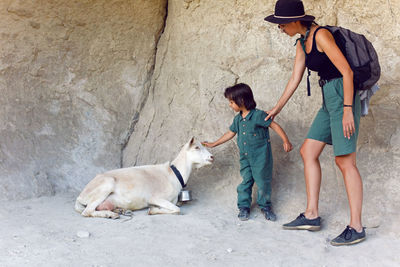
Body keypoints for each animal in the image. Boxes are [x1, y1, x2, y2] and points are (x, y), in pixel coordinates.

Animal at [74, 138, 214, 220]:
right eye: (197, 147)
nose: (212, 157)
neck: (173, 174)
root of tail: (80, 196)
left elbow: (176, 207)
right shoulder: (155, 197)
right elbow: (177, 209)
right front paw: (152, 210)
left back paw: (119, 210)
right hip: (106, 184)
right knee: (87, 211)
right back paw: (111, 214)